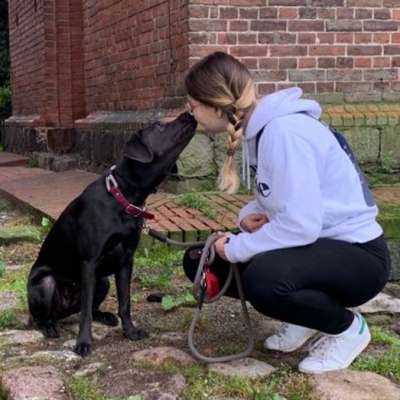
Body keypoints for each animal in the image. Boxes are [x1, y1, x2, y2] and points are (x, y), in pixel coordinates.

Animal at [26, 111, 197, 356]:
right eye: (158, 125)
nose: (189, 113)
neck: (123, 197)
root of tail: (64, 310)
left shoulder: (126, 260)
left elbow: (124, 303)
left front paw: (130, 331)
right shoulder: (89, 262)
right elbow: (86, 314)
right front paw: (83, 343)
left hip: (102, 280)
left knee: (87, 308)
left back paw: (105, 317)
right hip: (46, 283)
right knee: (45, 316)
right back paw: (49, 327)